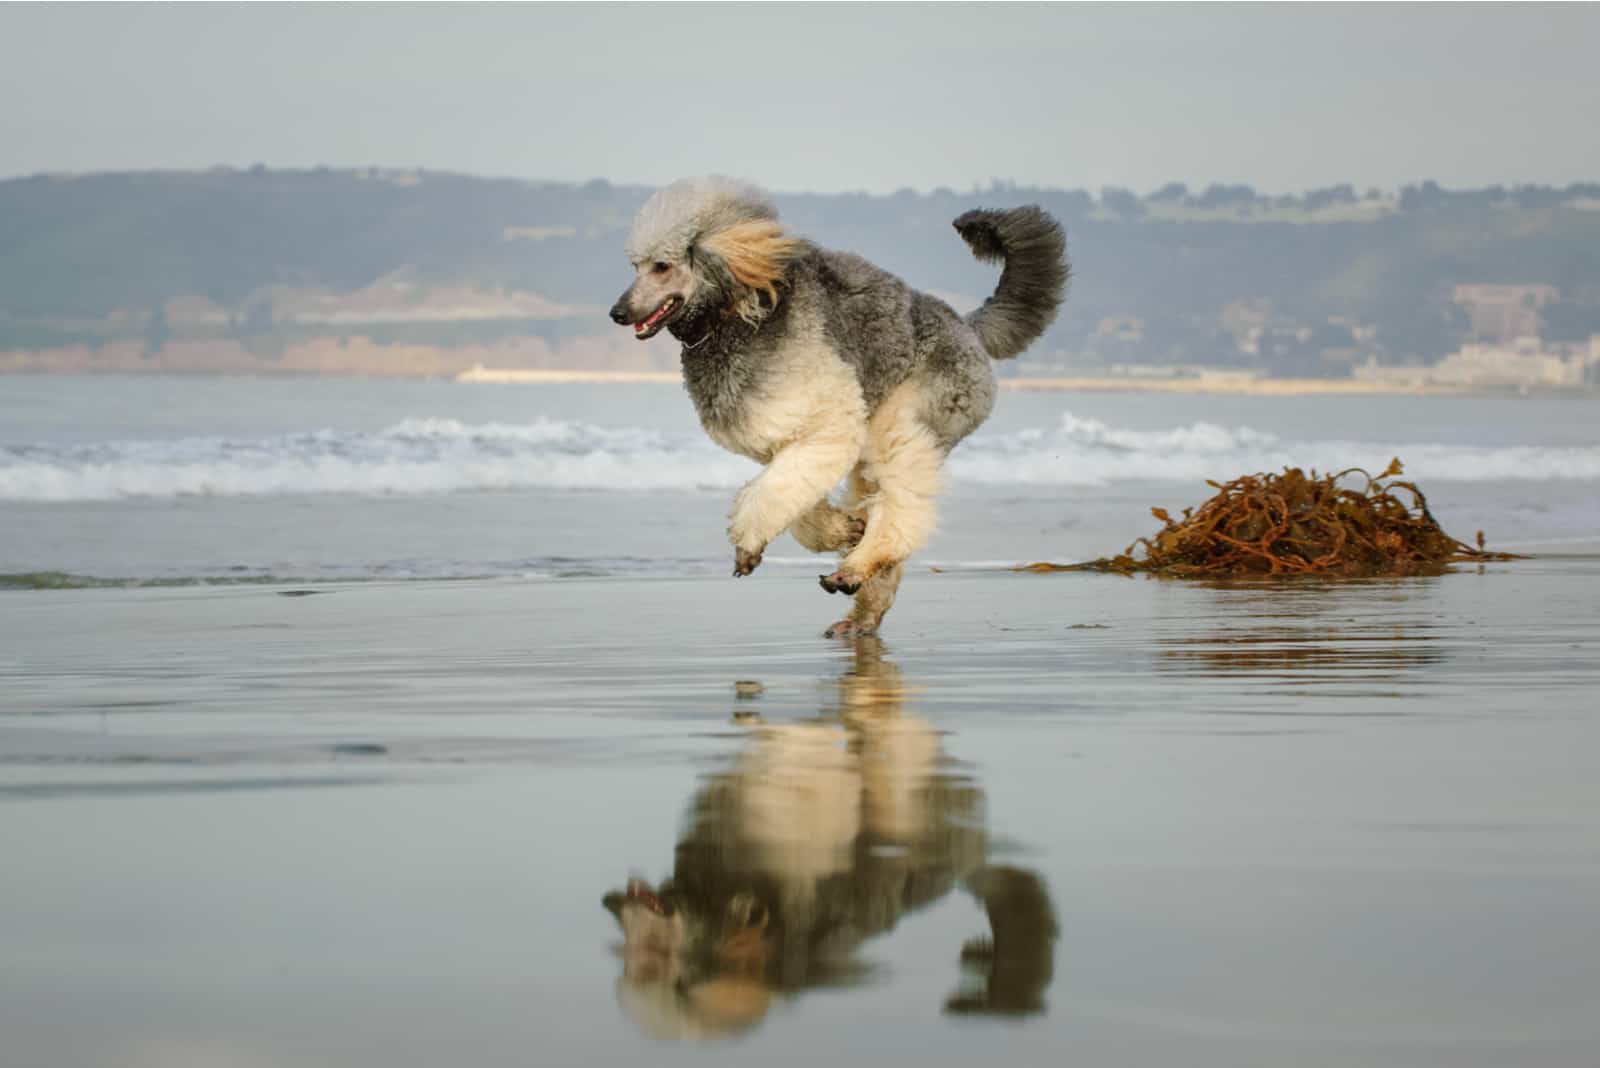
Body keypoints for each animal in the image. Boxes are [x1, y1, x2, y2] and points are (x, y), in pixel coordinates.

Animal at [604, 175, 1068, 633]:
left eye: (662, 266)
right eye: (636, 266)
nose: (618, 313)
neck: (736, 316)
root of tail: (967, 327)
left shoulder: (828, 423)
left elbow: (773, 492)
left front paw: (750, 542)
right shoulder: (783, 443)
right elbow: (790, 498)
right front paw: (842, 529)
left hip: (904, 421)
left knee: (902, 505)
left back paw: (856, 567)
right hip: (872, 448)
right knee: (878, 505)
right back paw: (863, 610)